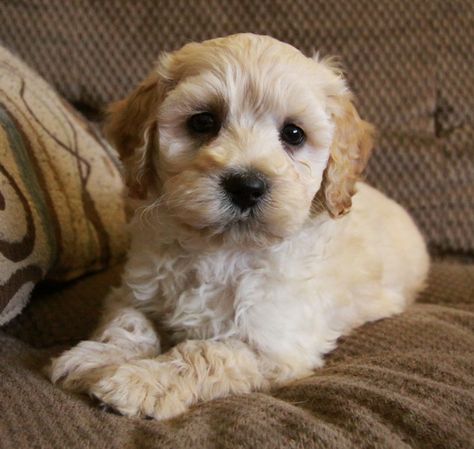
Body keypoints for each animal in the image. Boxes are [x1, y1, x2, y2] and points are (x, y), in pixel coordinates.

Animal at [49, 34, 430, 420]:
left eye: (294, 134)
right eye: (203, 122)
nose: (247, 186)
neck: (221, 251)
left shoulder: (272, 346)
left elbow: (204, 354)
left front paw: (139, 382)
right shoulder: (133, 292)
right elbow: (128, 323)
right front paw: (96, 358)